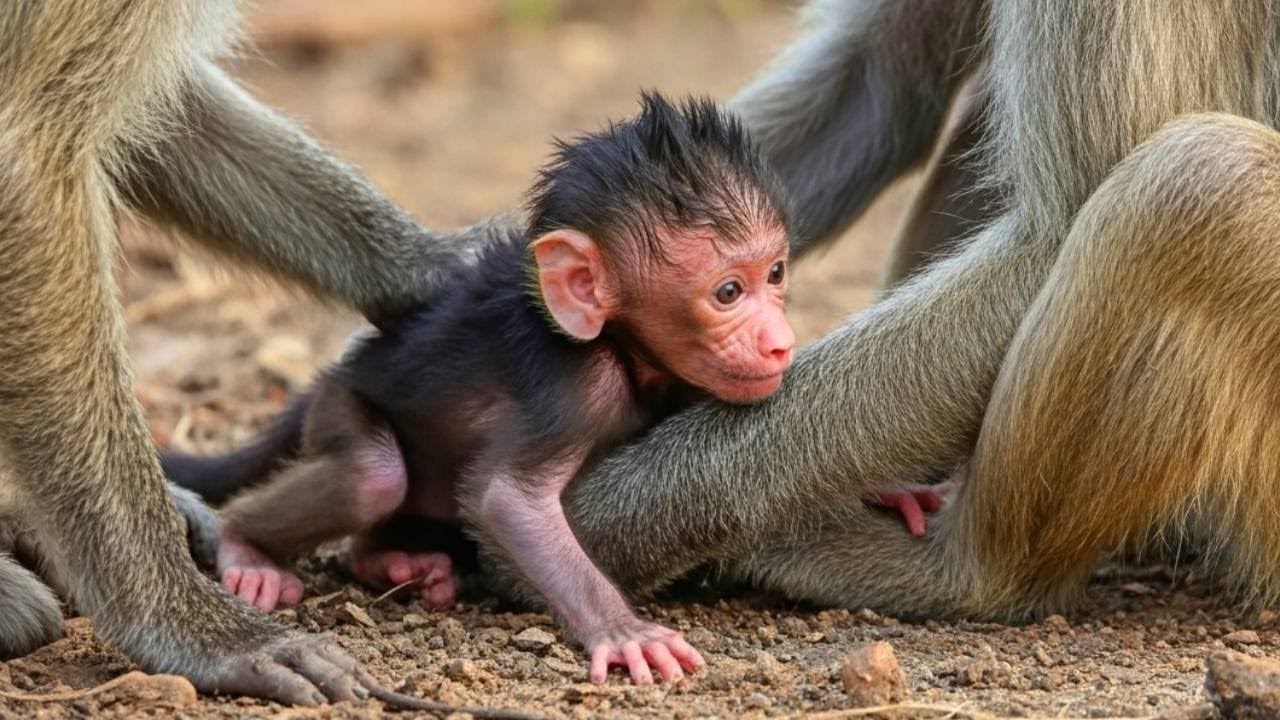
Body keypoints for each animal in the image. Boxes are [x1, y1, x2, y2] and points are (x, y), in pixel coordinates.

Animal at [165, 92, 799, 685]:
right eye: (727, 293)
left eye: (775, 274)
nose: (780, 342)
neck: (625, 349)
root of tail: (340, 371)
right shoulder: (575, 390)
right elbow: (508, 499)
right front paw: (623, 632)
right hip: (340, 405)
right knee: (371, 476)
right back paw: (247, 545)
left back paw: (388, 562)